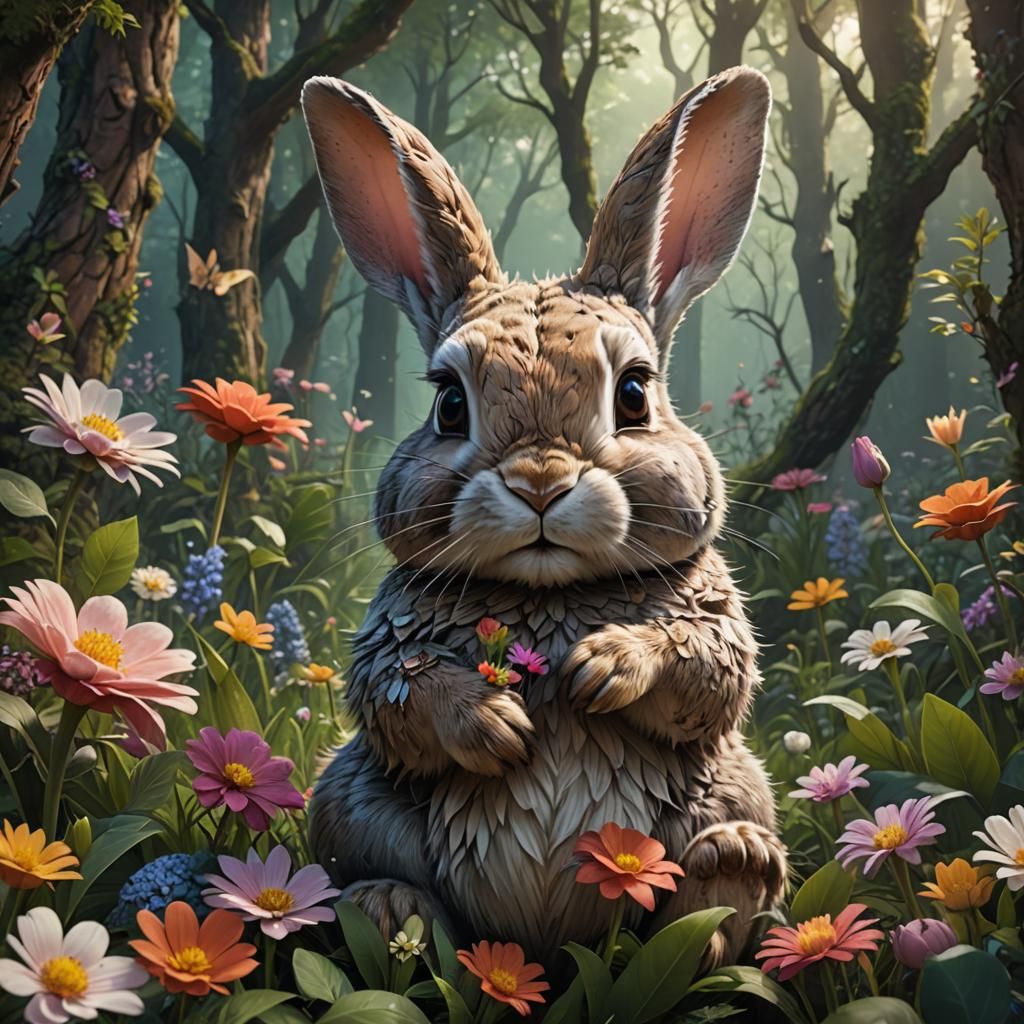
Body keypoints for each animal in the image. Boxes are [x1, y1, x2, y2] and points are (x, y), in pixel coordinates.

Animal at [301, 65, 787, 967]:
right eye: (449, 405)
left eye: (633, 394)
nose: (538, 482)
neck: (548, 594)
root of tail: (544, 949)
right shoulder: (389, 644)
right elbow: (398, 693)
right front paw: (498, 725)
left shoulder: (713, 623)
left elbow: (708, 669)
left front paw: (604, 668)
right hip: (350, 797)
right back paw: (388, 909)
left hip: (729, 784)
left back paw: (729, 873)